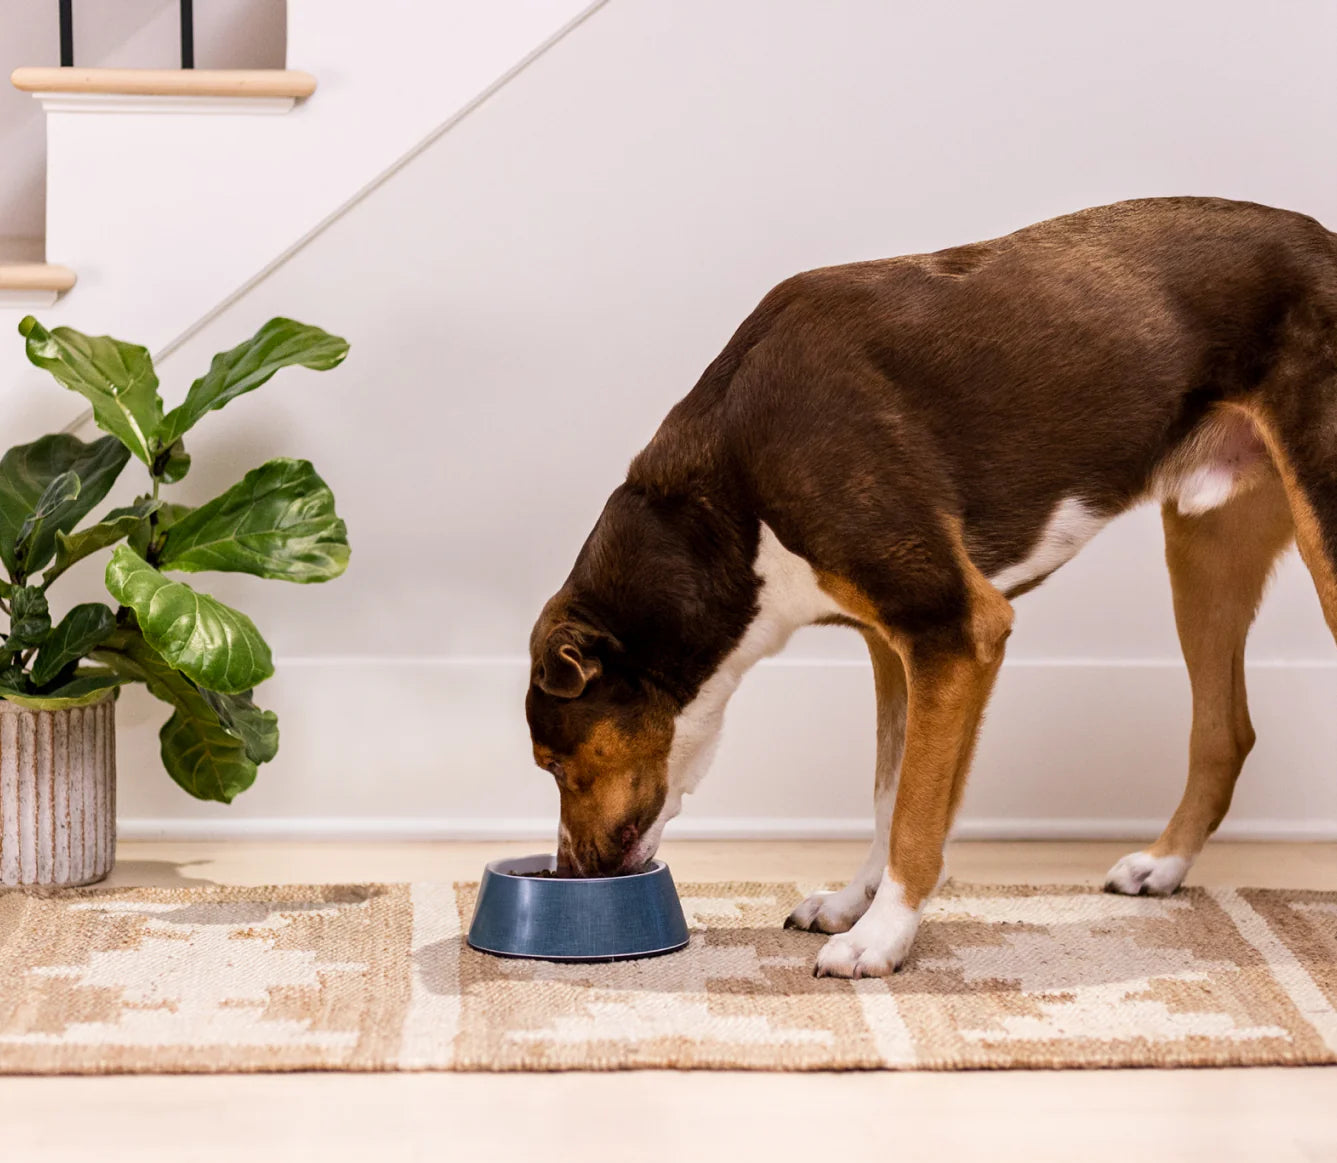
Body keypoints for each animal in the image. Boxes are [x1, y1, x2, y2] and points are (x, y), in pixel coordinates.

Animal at [524, 195, 1337, 978]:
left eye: (554, 763)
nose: (569, 873)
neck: (728, 497)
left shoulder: (958, 630)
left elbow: (915, 810)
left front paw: (880, 939)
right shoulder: (897, 648)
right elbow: (890, 793)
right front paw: (852, 904)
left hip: (1316, 542)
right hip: (1204, 549)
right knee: (1224, 730)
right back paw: (1162, 865)